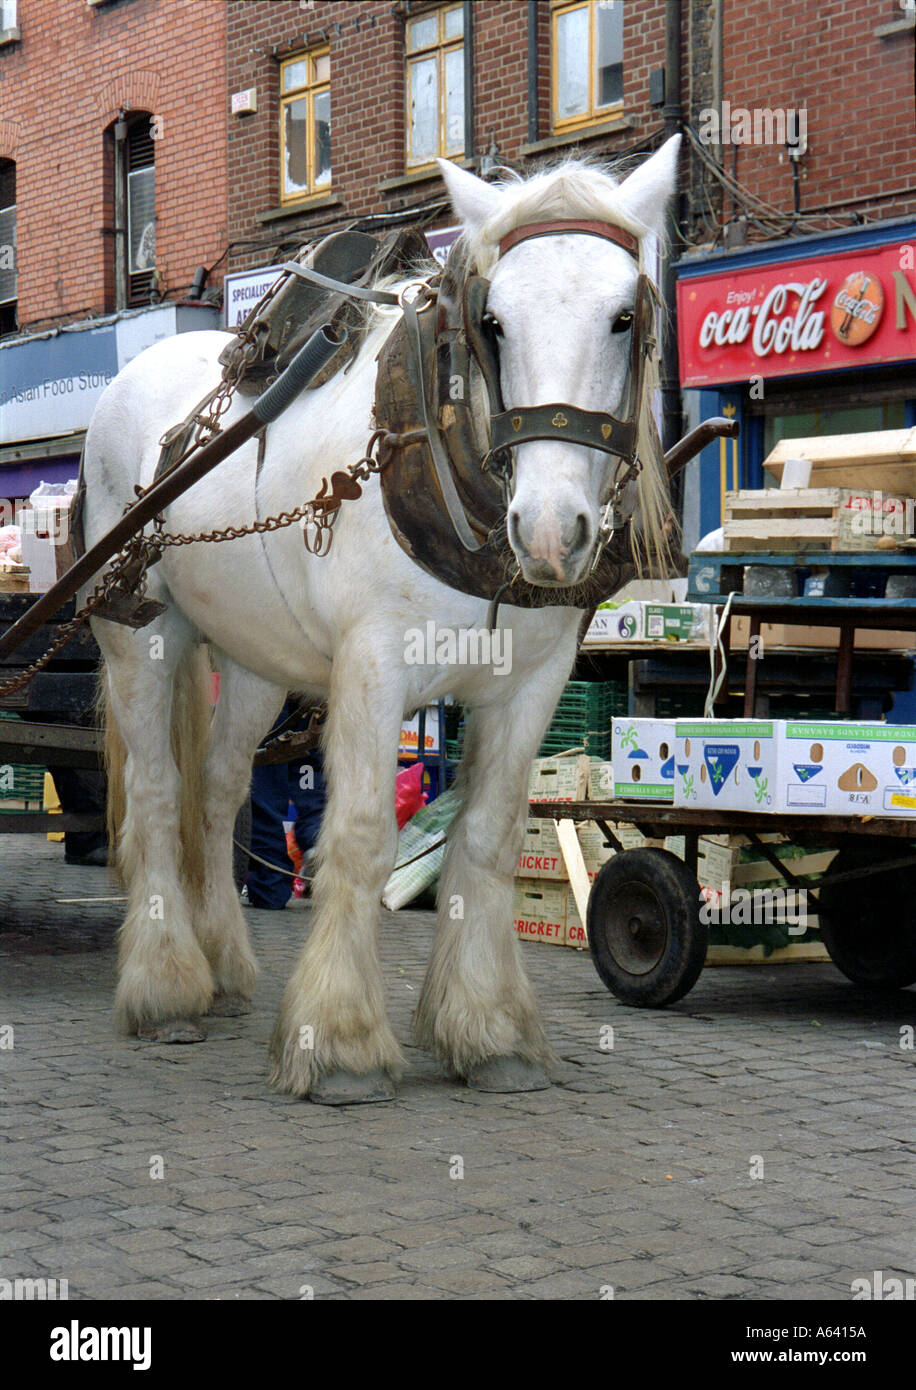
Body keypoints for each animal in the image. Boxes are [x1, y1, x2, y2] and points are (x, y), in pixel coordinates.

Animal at [84, 135, 681, 1100]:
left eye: (624, 316)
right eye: (494, 323)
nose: (551, 531)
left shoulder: (535, 681)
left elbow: (488, 837)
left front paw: (487, 1028)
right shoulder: (372, 668)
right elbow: (360, 835)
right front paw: (339, 1039)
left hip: (253, 658)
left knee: (218, 791)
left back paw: (224, 967)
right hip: (142, 632)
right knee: (157, 792)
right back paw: (166, 985)